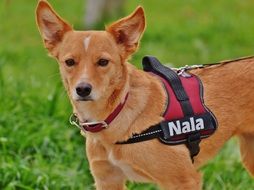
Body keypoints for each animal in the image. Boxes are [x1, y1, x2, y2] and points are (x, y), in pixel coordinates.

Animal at [35, 0, 254, 189]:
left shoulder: (184, 180)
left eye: (103, 62)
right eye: (70, 62)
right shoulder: (107, 179)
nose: (82, 89)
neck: (117, 114)